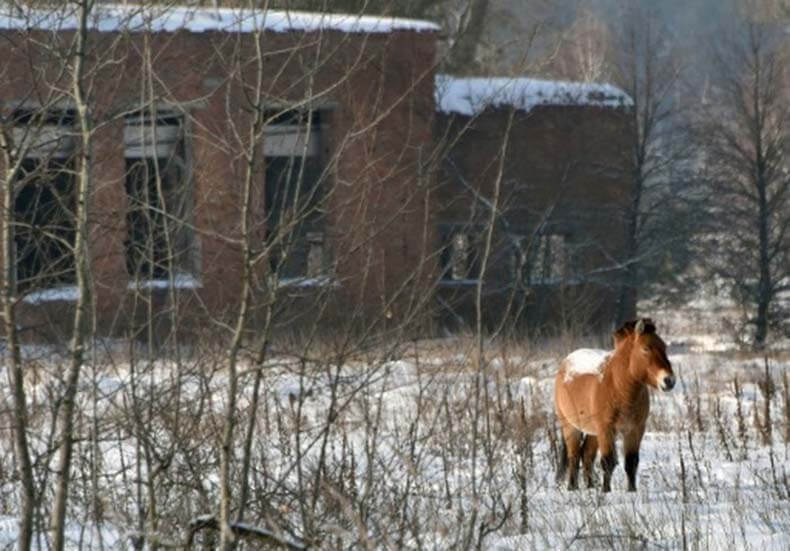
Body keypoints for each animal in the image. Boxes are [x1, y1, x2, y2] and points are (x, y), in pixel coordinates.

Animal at [556, 316, 676, 494]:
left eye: (664, 347)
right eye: (646, 348)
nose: (669, 380)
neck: (619, 388)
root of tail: (566, 362)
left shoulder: (635, 430)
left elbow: (631, 463)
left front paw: (632, 491)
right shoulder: (607, 430)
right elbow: (608, 462)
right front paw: (606, 491)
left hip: (593, 433)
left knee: (586, 455)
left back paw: (590, 487)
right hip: (571, 427)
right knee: (574, 457)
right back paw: (572, 488)